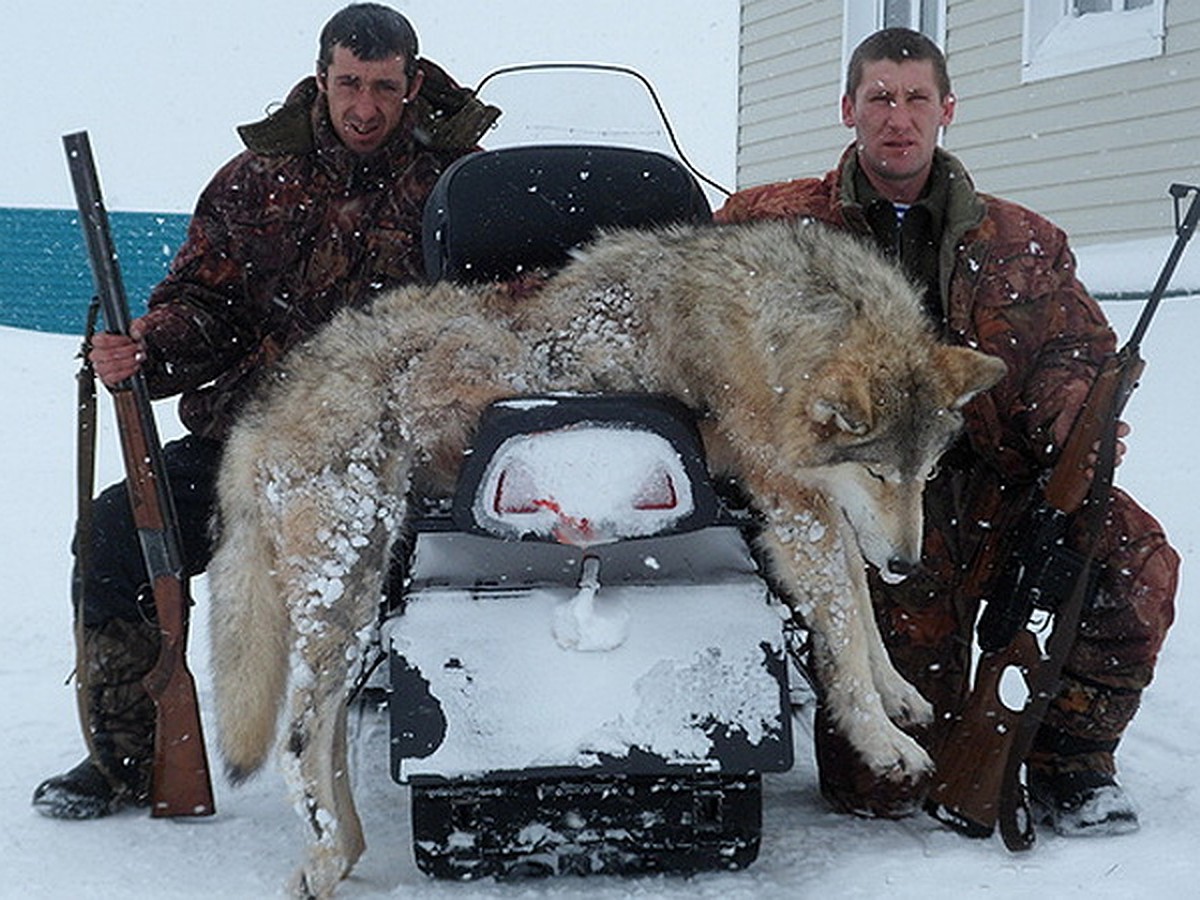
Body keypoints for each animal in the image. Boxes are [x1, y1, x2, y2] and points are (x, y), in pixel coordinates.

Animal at [206, 217, 1003, 897]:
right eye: (878, 472)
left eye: (927, 474)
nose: (908, 565)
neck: (781, 322)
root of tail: (264, 402)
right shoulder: (792, 505)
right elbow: (841, 628)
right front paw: (882, 740)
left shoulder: (818, 505)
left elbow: (859, 608)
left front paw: (897, 691)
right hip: (350, 583)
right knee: (300, 735)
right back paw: (325, 858)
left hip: (361, 601)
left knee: (330, 731)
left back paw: (344, 850)